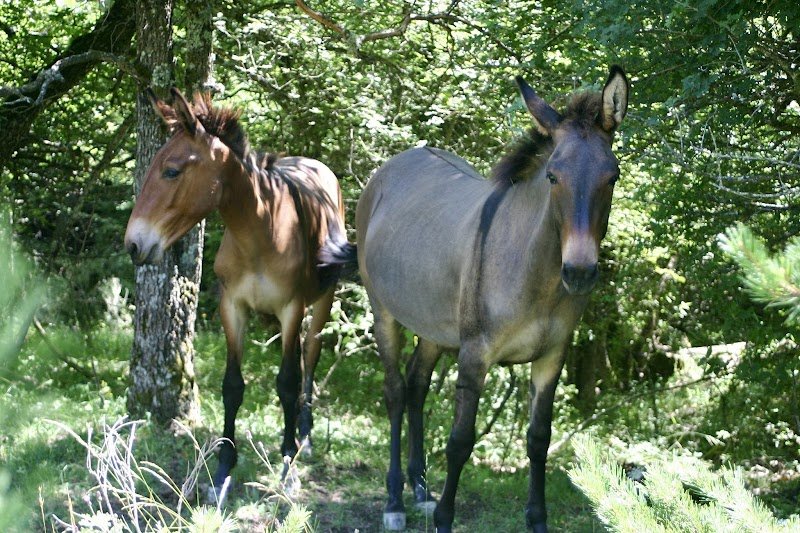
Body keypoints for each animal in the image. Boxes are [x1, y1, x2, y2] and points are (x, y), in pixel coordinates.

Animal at [123, 88, 357, 495]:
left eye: (172, 171)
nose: (134, 244)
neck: (261, 230)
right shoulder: (232, 307)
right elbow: (232, 386)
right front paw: (223, 468)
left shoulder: (291, 307)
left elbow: (287, 383)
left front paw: (287, 465)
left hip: (320, 304)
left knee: (309, 358)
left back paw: (305, 435)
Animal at [355, 66, 629, 532]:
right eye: (553, 176)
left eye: (612, 177)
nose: (579, 273)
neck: (538, 278)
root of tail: (397, 162)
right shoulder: (475, 355)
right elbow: (460, 441)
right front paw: (444, 520)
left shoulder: (552, 357)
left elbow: (539, 440)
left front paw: (537, 521)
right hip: (384, 312)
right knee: (394, 391)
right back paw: (394, 501)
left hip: (434, 328)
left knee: (416, 386)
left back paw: (420, 490)